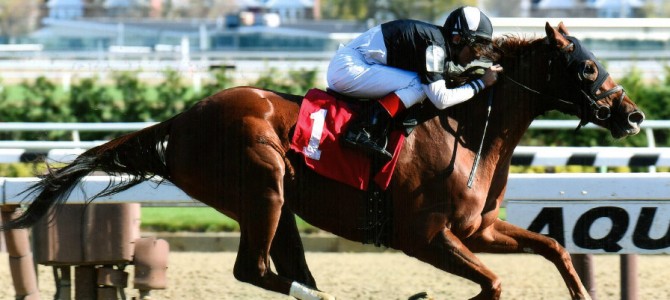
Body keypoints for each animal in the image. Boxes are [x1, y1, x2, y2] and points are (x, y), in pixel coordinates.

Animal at [3, 22, 644, 298]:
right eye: (588, 67)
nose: (634, 115)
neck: (469, 130)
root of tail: (180, 120)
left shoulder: (478, 229)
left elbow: (554, 247)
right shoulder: (423, 236)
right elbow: (492, 283)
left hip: (278, 203)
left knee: (279, 268)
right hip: (262, 184)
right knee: (256, 271)